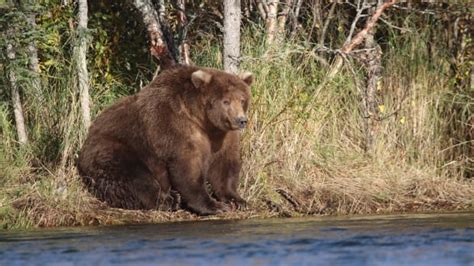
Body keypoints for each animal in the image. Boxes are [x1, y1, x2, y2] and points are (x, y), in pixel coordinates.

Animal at [77, 65, 252, 216]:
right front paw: (215, 205)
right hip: (115, 149)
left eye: (242, 99)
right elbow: (188, 167)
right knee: (135, 178)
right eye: (226, 101)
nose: (241, 120)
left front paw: (238, 200)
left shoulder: (222, 135)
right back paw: (169, 200)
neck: (202, 120)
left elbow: (224, 165)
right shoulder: (174, 125)